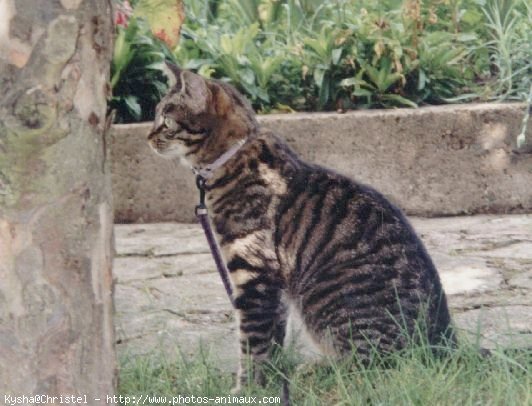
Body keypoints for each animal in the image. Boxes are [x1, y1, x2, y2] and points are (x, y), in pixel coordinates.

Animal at [148, 64, 456, 390]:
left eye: (166, 121)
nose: (148, 136)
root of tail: (445, 344)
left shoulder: (254, 273)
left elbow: (251, 342)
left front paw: (246, 389)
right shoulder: (274, 287)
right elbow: (271, 339)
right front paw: (271, 379)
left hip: (331, 310)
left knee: (373, 367)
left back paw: (316, 372)